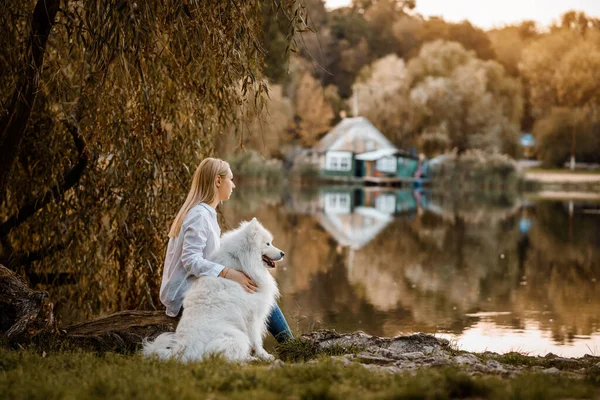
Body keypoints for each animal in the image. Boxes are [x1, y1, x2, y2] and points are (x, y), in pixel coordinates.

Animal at [143, 219, 284, 362]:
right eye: (267, 243)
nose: (283, 253)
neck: (239, 261)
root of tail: (181, 351)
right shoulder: (253, 316)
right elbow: (256, 340)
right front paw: (265, 356)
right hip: (236, 336)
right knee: (224, 358)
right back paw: (250, 359)